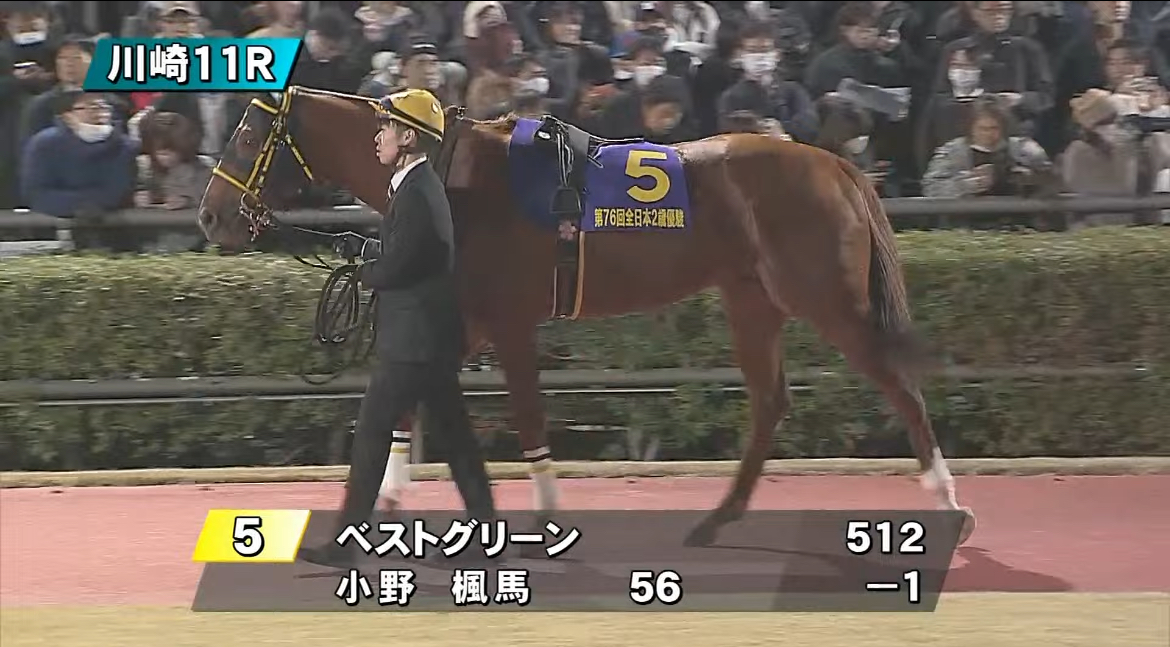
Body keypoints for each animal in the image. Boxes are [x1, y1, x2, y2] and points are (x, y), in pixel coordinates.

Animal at [196, 85, 977, 546]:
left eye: (248, 136)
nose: (210, 215)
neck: (453, 175)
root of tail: (837, 166)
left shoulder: (508, 321)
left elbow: (527, 415)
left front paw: (546, 511)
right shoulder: (464, 319)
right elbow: (411, 398)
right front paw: (386, 499)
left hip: (824, 298)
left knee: (900, 387)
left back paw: (948, 505)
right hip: (751, 297)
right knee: (769, 401)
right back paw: (716, 518)